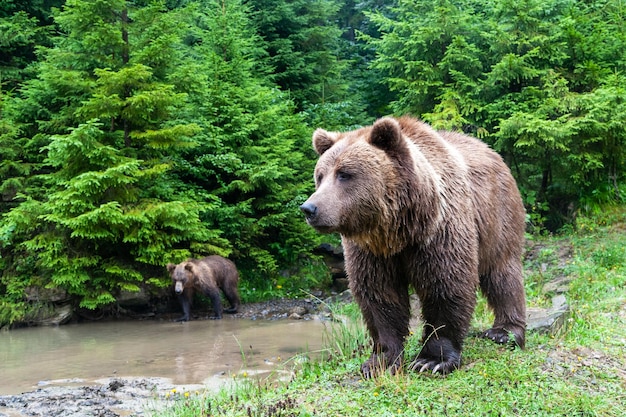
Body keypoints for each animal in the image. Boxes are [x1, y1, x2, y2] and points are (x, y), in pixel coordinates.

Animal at [300, 115, 524, 376]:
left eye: (344, 174)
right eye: (320, 175)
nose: (310, 208)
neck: (399, 229)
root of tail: (491, 151)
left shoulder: (439, 232)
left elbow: (445, 285)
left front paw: (432, 360)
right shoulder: (370, 251)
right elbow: (379, 294)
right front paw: (380, 360)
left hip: (497, 213)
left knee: (502, 270)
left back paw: (505, 331)